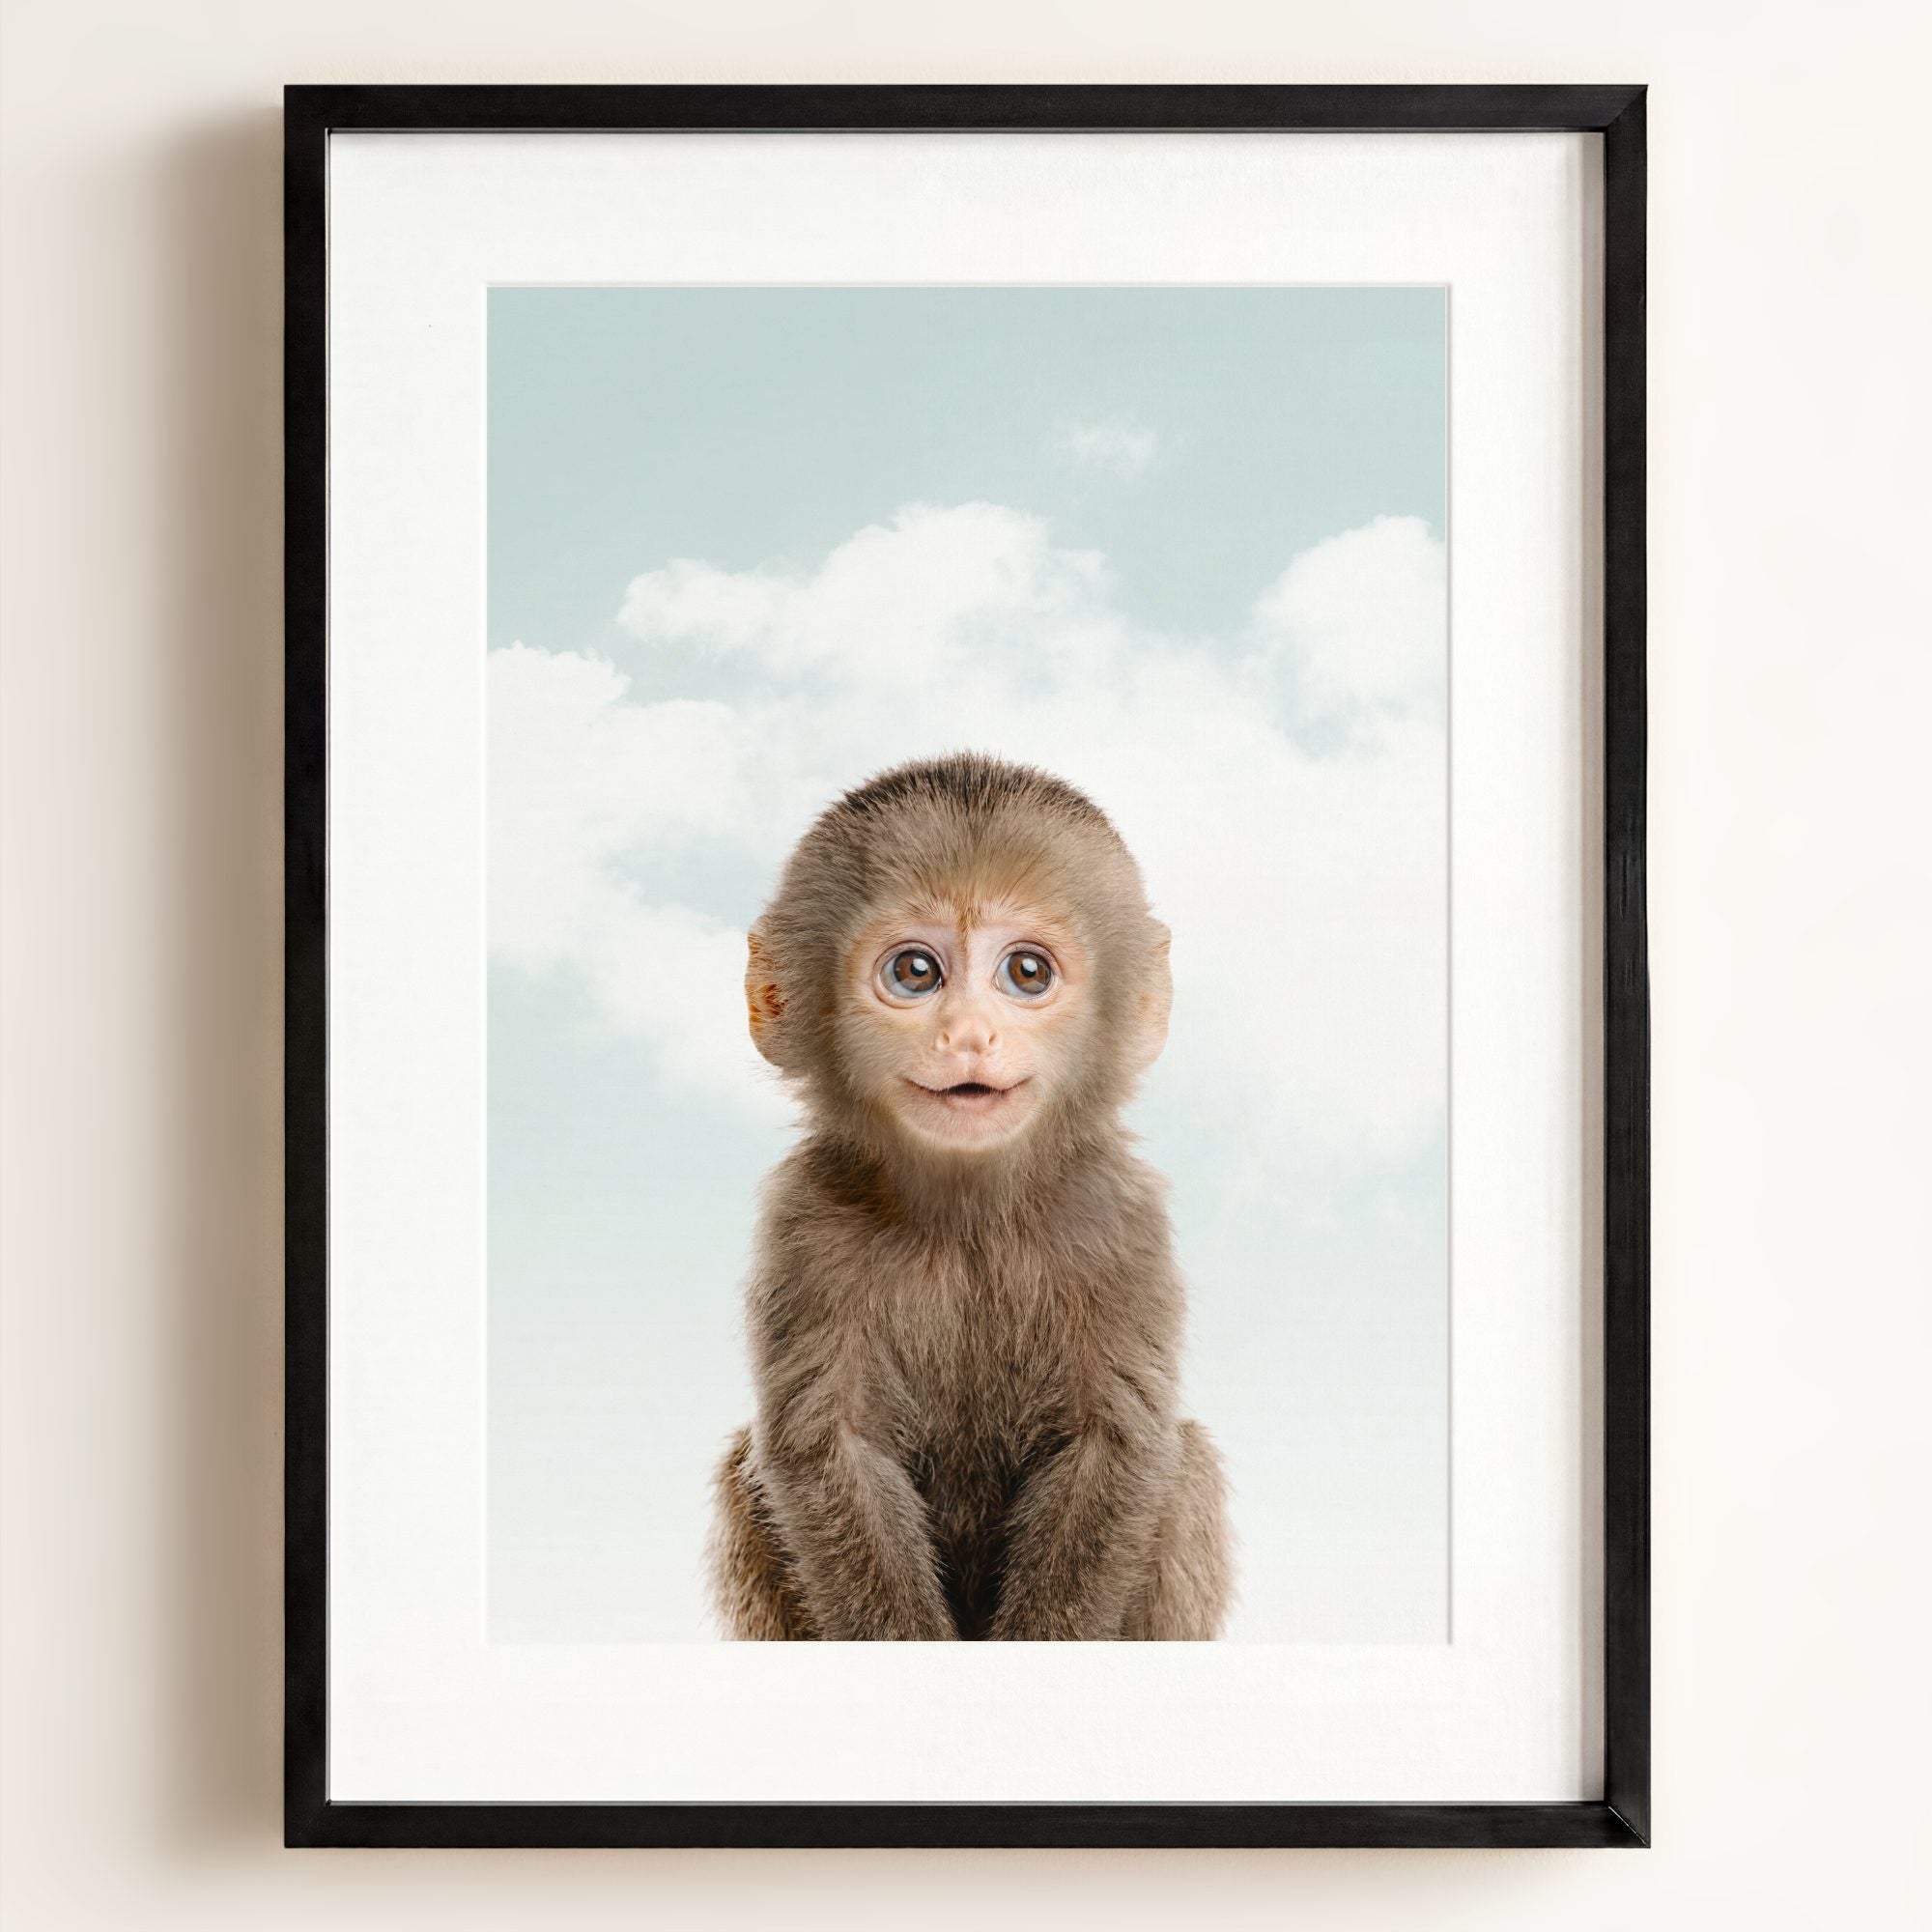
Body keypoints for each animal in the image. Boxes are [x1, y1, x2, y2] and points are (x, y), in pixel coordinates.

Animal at [708, 752, 1231, 1640]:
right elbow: (829, 1451)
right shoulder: (805, 1221)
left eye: (1027, 972)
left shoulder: (1119, 1218)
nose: (968, 1036)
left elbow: (1115, 1447)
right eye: (915, 972)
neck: (969, 1218)